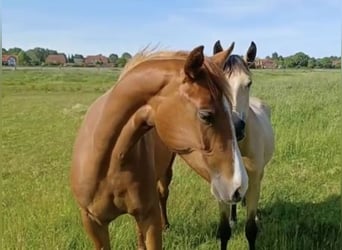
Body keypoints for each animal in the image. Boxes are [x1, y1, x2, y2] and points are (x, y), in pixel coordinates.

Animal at [214, 40, 276, 249]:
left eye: (248, 83)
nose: (235, 127)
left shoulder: (255, 179)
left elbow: (250, 230)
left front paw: (253, 219)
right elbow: (224, 231)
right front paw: (230, 221)